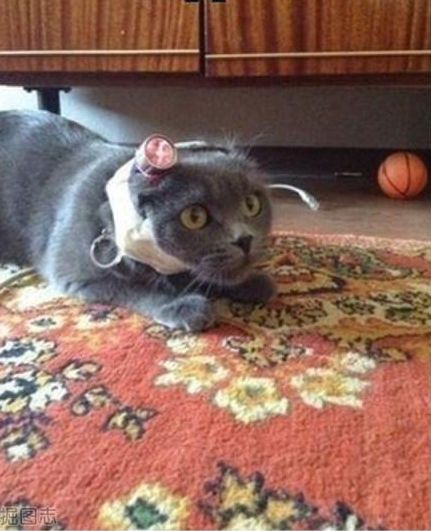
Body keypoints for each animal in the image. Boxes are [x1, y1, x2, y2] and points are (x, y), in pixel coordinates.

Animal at [0, 110, 275, 331]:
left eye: (251, 204)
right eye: (195, 217)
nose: (244, 239)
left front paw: (252, 282)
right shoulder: (77, 278)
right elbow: (135, 289)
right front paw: (181, 305)